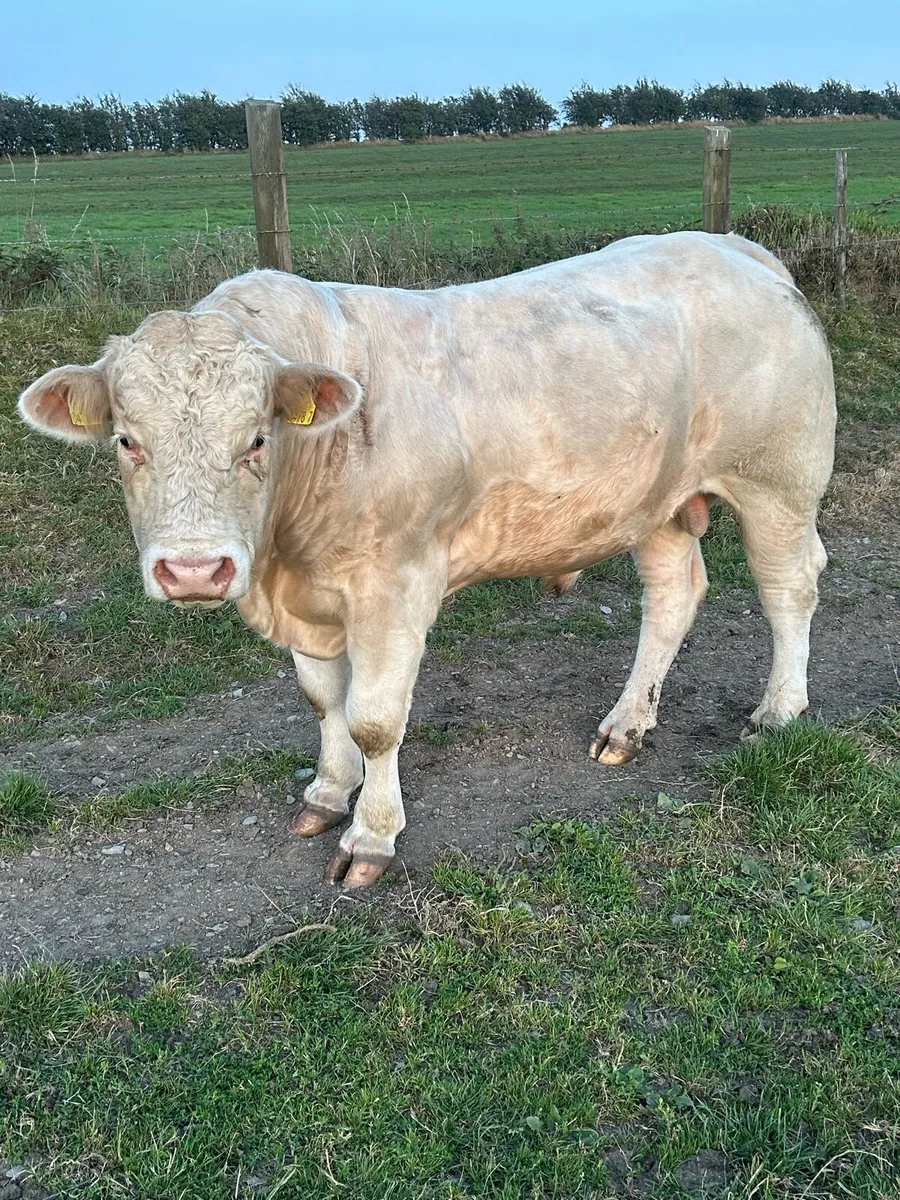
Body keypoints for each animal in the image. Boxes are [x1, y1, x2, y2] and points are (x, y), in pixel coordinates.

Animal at [18, 232, 836, 887]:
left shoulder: (394, 587)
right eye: (127, 440)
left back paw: (778, 711)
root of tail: (733, 246)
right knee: (673, 594)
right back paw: (627, 725)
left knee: (788, 589)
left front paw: (371, 836)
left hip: (779, 482)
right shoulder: (310, 597)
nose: (193, 570)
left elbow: (375, 721)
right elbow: (324, 701)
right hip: (656, 502)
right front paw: (326, 793)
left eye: (256, 437)